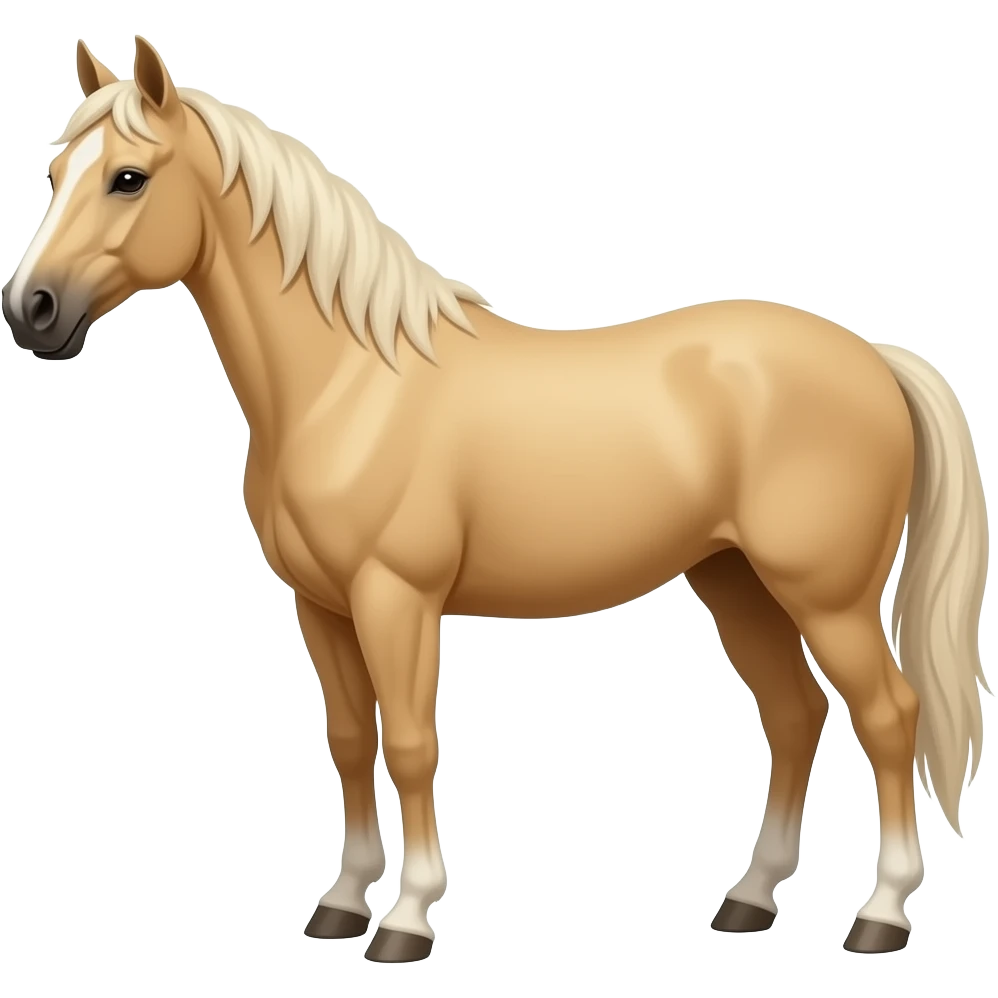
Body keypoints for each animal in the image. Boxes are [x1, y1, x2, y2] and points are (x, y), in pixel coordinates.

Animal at [2, 36, 990, 963]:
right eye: (55, 173)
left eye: (129, 178)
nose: (31, 311)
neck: (349, 383)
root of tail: (874, 360)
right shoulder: (320, 606)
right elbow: (350, 739)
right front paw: (340, 904)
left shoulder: (395, 599)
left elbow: (411, 745)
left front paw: (406, 920)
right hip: (735, 581)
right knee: (794, 716)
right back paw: (749, 900)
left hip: (827, 597)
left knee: (888, 717)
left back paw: (881, 914)